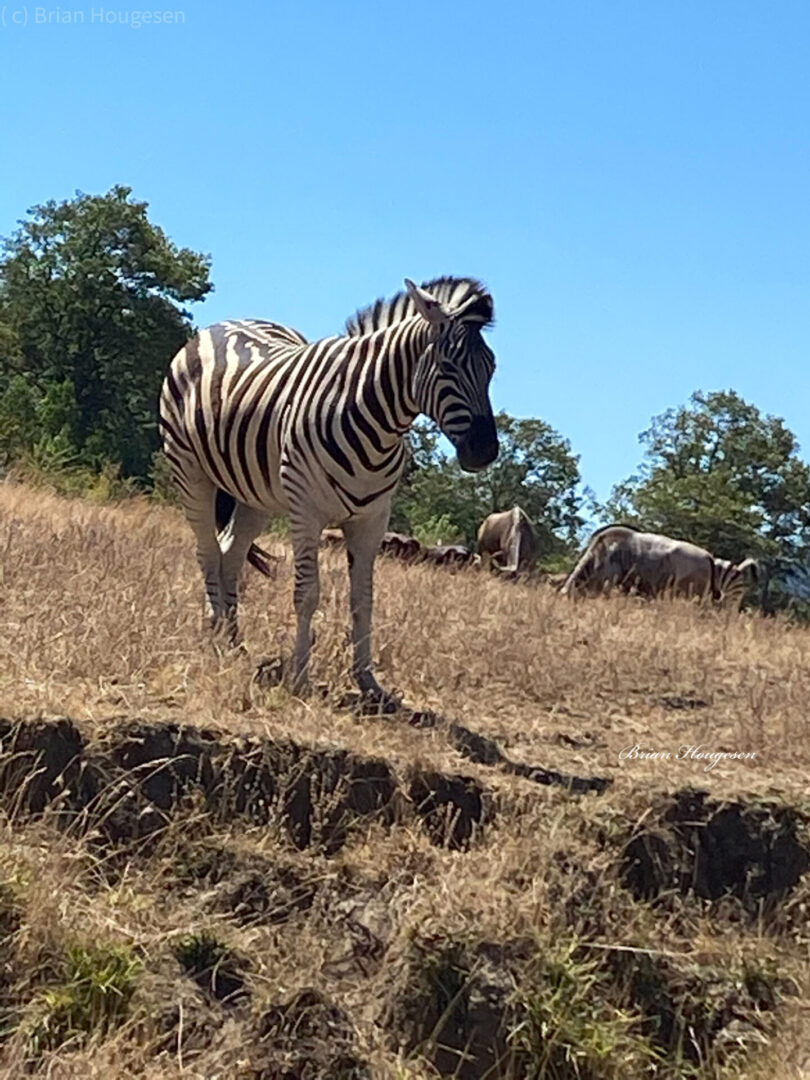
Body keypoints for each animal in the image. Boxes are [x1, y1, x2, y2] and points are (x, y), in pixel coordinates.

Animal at [158, 274, 498, 704]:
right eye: (448, 366)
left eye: (492, 368)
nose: (486, 451)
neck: (375, 422)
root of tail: (223, 324)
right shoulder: (306, 513)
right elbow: (307, 594)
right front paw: (300, 677)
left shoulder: (373, 520)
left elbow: (363, 600)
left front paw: (368, 682)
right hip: (190, 471)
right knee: (206, 552)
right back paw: (215, 636)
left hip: (256, 495)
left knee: (229, 553)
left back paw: (232, 639)